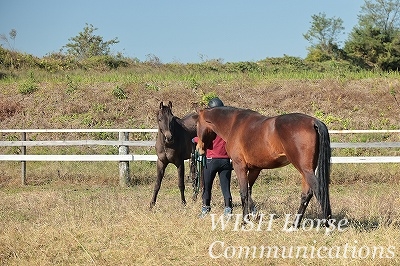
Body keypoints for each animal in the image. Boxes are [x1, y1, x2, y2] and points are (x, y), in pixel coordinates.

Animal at [196, 106, 332, 227]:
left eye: (197, 124)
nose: (199, 149)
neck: (234, 124)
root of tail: (313, 122)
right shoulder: (255, 169)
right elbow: (249, 191)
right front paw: (253, 216)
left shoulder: (239, 166)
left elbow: (243, 193)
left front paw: (244, 221)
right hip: (306, 170)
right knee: (306, 195)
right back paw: (295, 224)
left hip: (305, 169)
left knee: (318, 190)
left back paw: (327, 224)